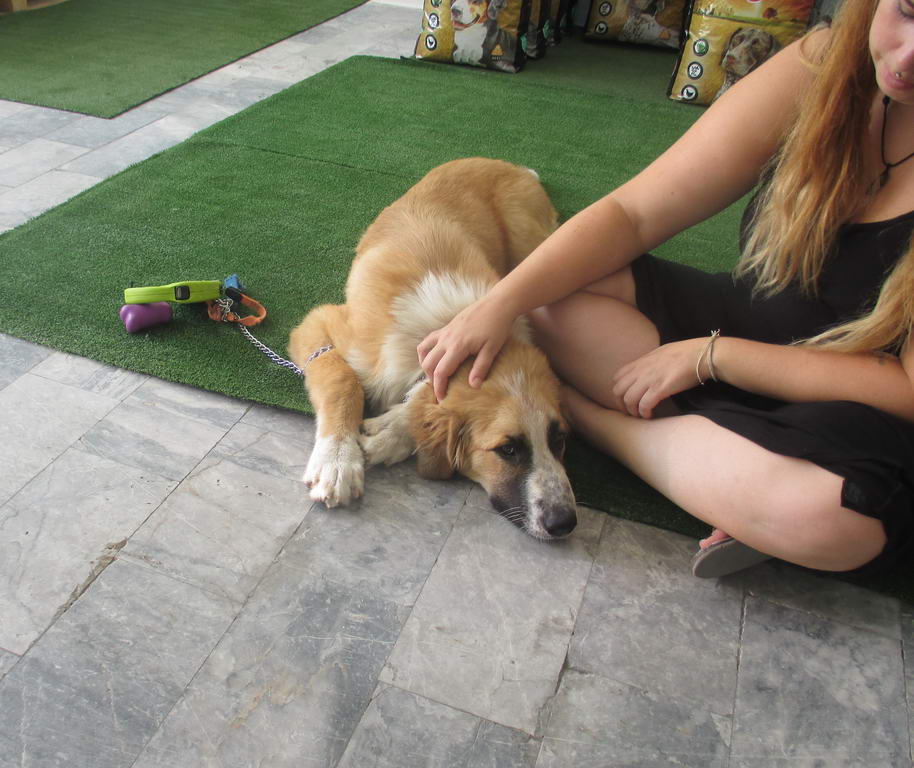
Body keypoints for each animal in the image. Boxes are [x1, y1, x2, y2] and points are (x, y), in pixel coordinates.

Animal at [288, 158, 578, 540]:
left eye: (559, 439)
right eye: (508, 449)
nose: (565, 522)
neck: (450, 326)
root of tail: (512, 167)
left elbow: (422, 403)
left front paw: (391, 432)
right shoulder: (319, 323)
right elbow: (343, 381)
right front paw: (337, 460)